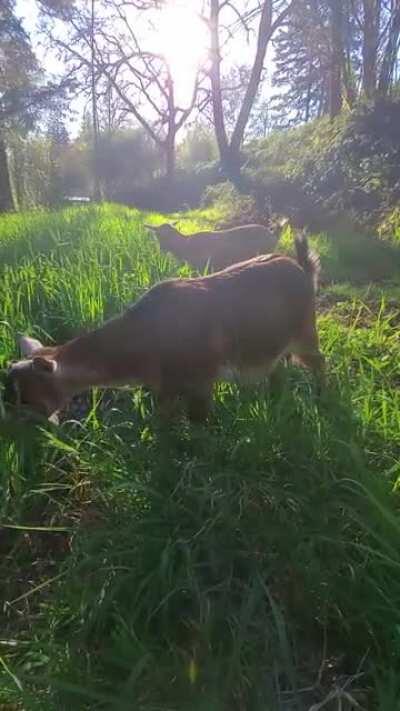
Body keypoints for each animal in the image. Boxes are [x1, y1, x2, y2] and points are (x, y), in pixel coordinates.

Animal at [3, 234, 324, 423]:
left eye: (25, 397)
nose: (10, 425)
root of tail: (303, 269)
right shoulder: (164, 387)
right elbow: (163, 421)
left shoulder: (201, 378)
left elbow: (197, 421)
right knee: (279, 367)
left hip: (305, 329)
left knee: (317, 360)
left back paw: (324, 396)